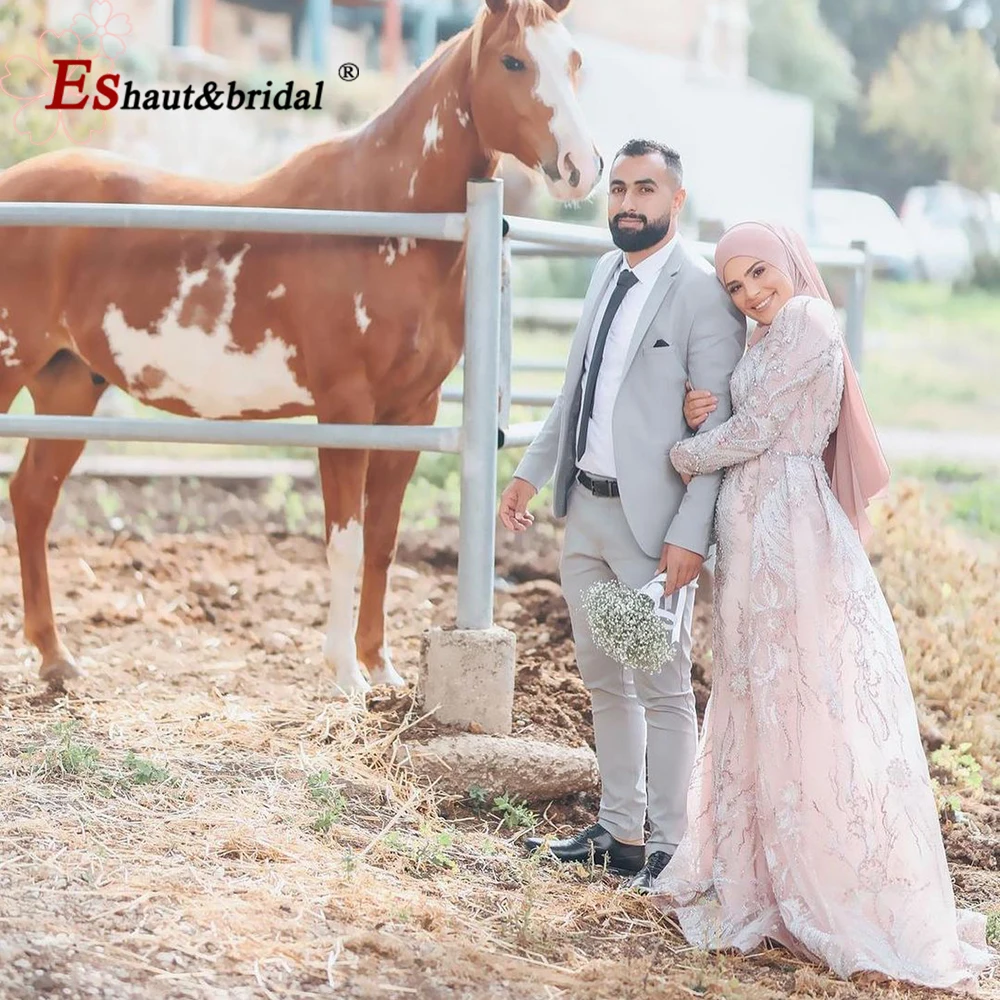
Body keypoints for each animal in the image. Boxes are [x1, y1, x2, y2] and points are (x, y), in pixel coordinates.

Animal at [0, 0, 600, 696]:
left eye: (575, 60)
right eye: (512, 61)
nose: (583, 167)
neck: (385, 219)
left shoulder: (411, 412)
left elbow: (383, 540)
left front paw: (381, 666)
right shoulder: (345, 411)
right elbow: (344, 542)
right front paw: (346, 675)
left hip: (69, 386)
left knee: (33, 498)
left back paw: (56, 658)